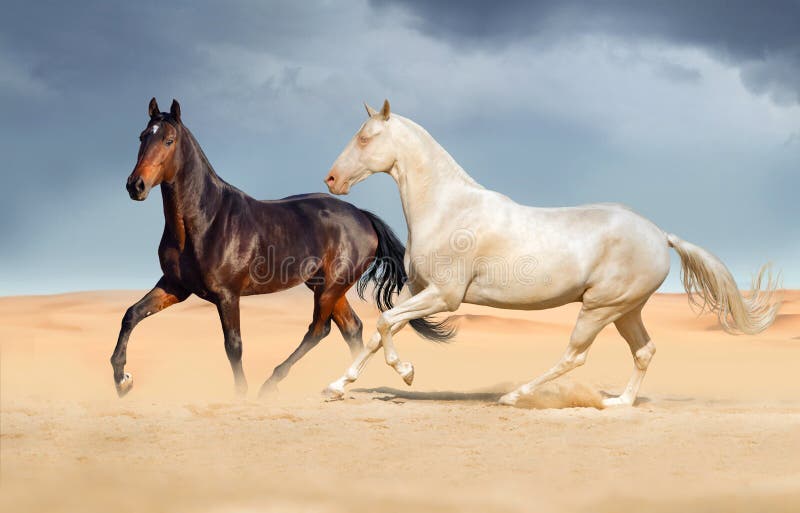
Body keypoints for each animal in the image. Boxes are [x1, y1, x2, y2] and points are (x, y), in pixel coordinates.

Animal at [111, 99, 438, 396]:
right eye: (142, 136)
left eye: (168, 140)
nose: (135, 185)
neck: (205, 221)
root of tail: (362, 216)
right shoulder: (175, 287)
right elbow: (131, 315)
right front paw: (122, 380)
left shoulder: (227, 296)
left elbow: (233, 345)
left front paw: (241, 393)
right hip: (325, 286)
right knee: (352, 328)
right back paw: (344, 384)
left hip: (332, 286)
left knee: (319, 329)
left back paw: (273, 383)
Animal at [320, 98, 780, 406]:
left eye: (366, 138)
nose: (332, 180)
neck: (449, 208)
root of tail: (660, 234)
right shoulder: (423, 293)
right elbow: (382, 331)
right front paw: (337, 386)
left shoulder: (444, 296)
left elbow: (384, 323)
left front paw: (407, 374)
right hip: (626, 310)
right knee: (644, 351)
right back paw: (619, 403)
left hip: (599, 308)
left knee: (574, 356)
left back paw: (516, 396)